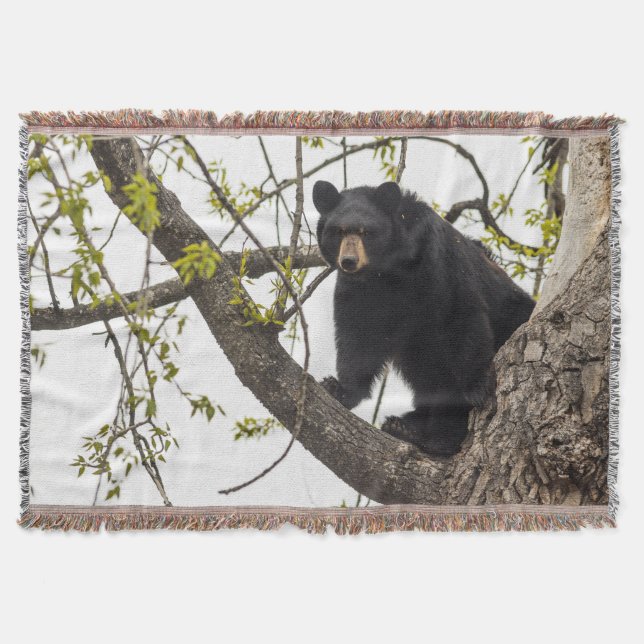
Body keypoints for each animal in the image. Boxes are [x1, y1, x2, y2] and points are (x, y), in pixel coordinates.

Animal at [313, 180, 535, 456]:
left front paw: (476, 389)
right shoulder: (359, 292)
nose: (349, 261)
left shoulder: (438, 266)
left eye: (366, 232)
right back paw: (404, 425)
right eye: (339, 231)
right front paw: (339, 389)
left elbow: (461, 316)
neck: (388, 272)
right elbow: (358, 338)